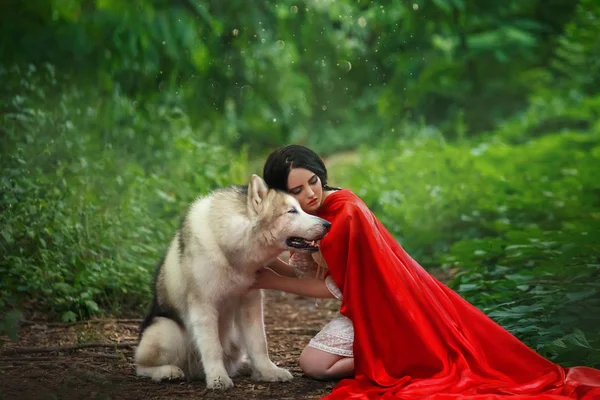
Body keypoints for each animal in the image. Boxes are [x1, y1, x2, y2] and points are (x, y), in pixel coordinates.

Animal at [135, 174, 332, 388]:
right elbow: (212, 348)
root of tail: (194, 371)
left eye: (300, 208)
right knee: (140, 365)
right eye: (292, 211)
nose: (328, 224)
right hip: (167, 332)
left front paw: (269, 371)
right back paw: (168, 372)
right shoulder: (203, 306)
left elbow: (259, 343)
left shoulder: (250, 302)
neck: (228, 247)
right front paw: (217, 378)